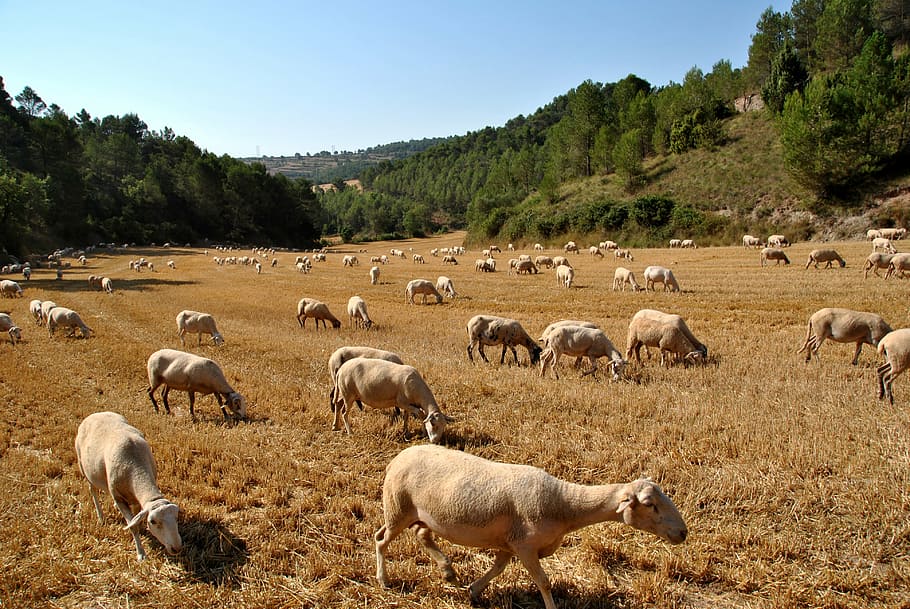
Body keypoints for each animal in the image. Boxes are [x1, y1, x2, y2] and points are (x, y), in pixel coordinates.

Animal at [75, 411, 182, 562]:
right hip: (83, 467)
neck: (136, 467)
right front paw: (141, 553)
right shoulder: (118, 497)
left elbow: (136, 518)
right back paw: (101, 517)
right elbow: (132, 526)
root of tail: (96, 414)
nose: (176, 548)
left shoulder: (135, 498)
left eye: (176, 517)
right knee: (93, 491)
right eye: (153, 521)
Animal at [374, 444, 687, 609]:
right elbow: (543, 581)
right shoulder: (525, 544)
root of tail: (397, 458)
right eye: (650, 504)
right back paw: (384, 580)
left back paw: (448, 571)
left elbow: (498, 568)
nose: (683, 532)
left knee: (422, 534)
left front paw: (473, 590)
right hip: (397, 508)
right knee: (381, 540)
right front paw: (551, 607)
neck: (563, 503)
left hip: (420, 514)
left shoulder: (511, 543)